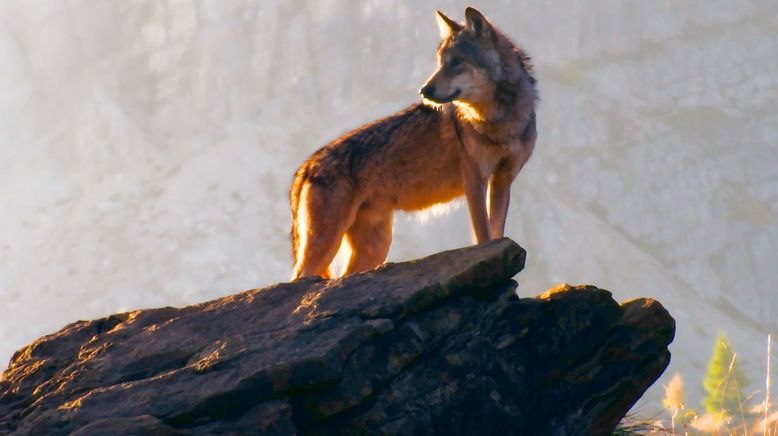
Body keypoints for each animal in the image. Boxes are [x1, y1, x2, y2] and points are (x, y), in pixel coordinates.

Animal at [288, 7, 536, 280]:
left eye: (456, 62)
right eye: (440, 62)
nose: (424, 90)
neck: (501, 120)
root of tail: (306, 167)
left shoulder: (502, 181)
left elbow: (497, 232)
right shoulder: (475, 180)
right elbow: (484, 237)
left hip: (375, 248)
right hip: (328, 245)